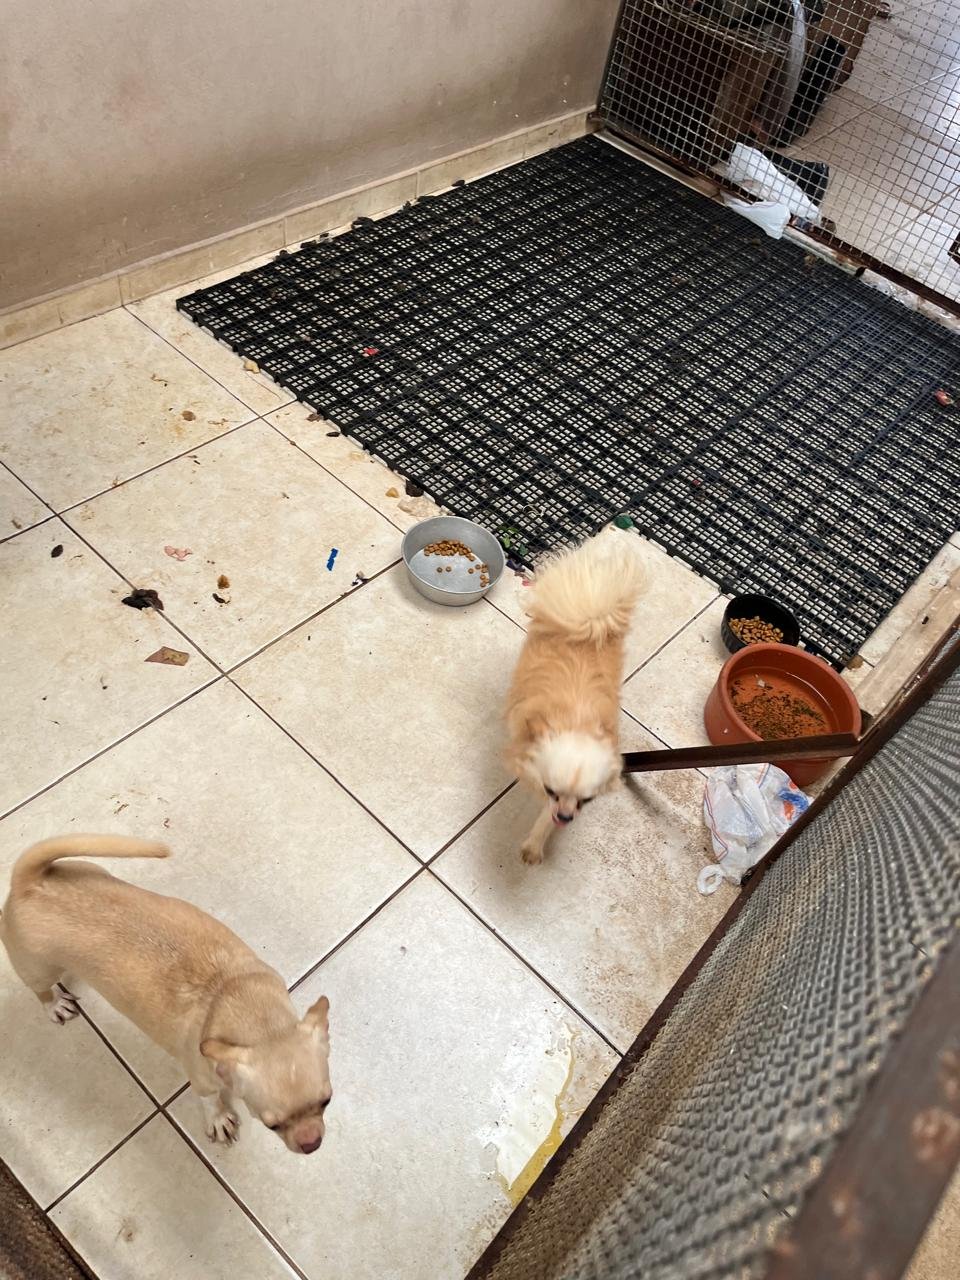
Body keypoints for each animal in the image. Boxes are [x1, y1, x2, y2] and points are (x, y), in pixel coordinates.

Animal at [0, 835, 331, 1154]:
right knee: (40, 989)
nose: (312, 1144)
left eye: (326, 1101)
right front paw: (218, 1118)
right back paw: (55, 1004)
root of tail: (29, 882)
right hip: (38, 968)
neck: (257, 1018)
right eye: (271, 1125)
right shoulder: (202, 1079)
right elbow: (210, 1100)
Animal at [506, 530, 645, 864]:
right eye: (551, 790)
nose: (566, 818)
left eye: (587, 800)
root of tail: (592, 614)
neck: (576, 721)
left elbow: (545, 817)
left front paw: (535, 844)